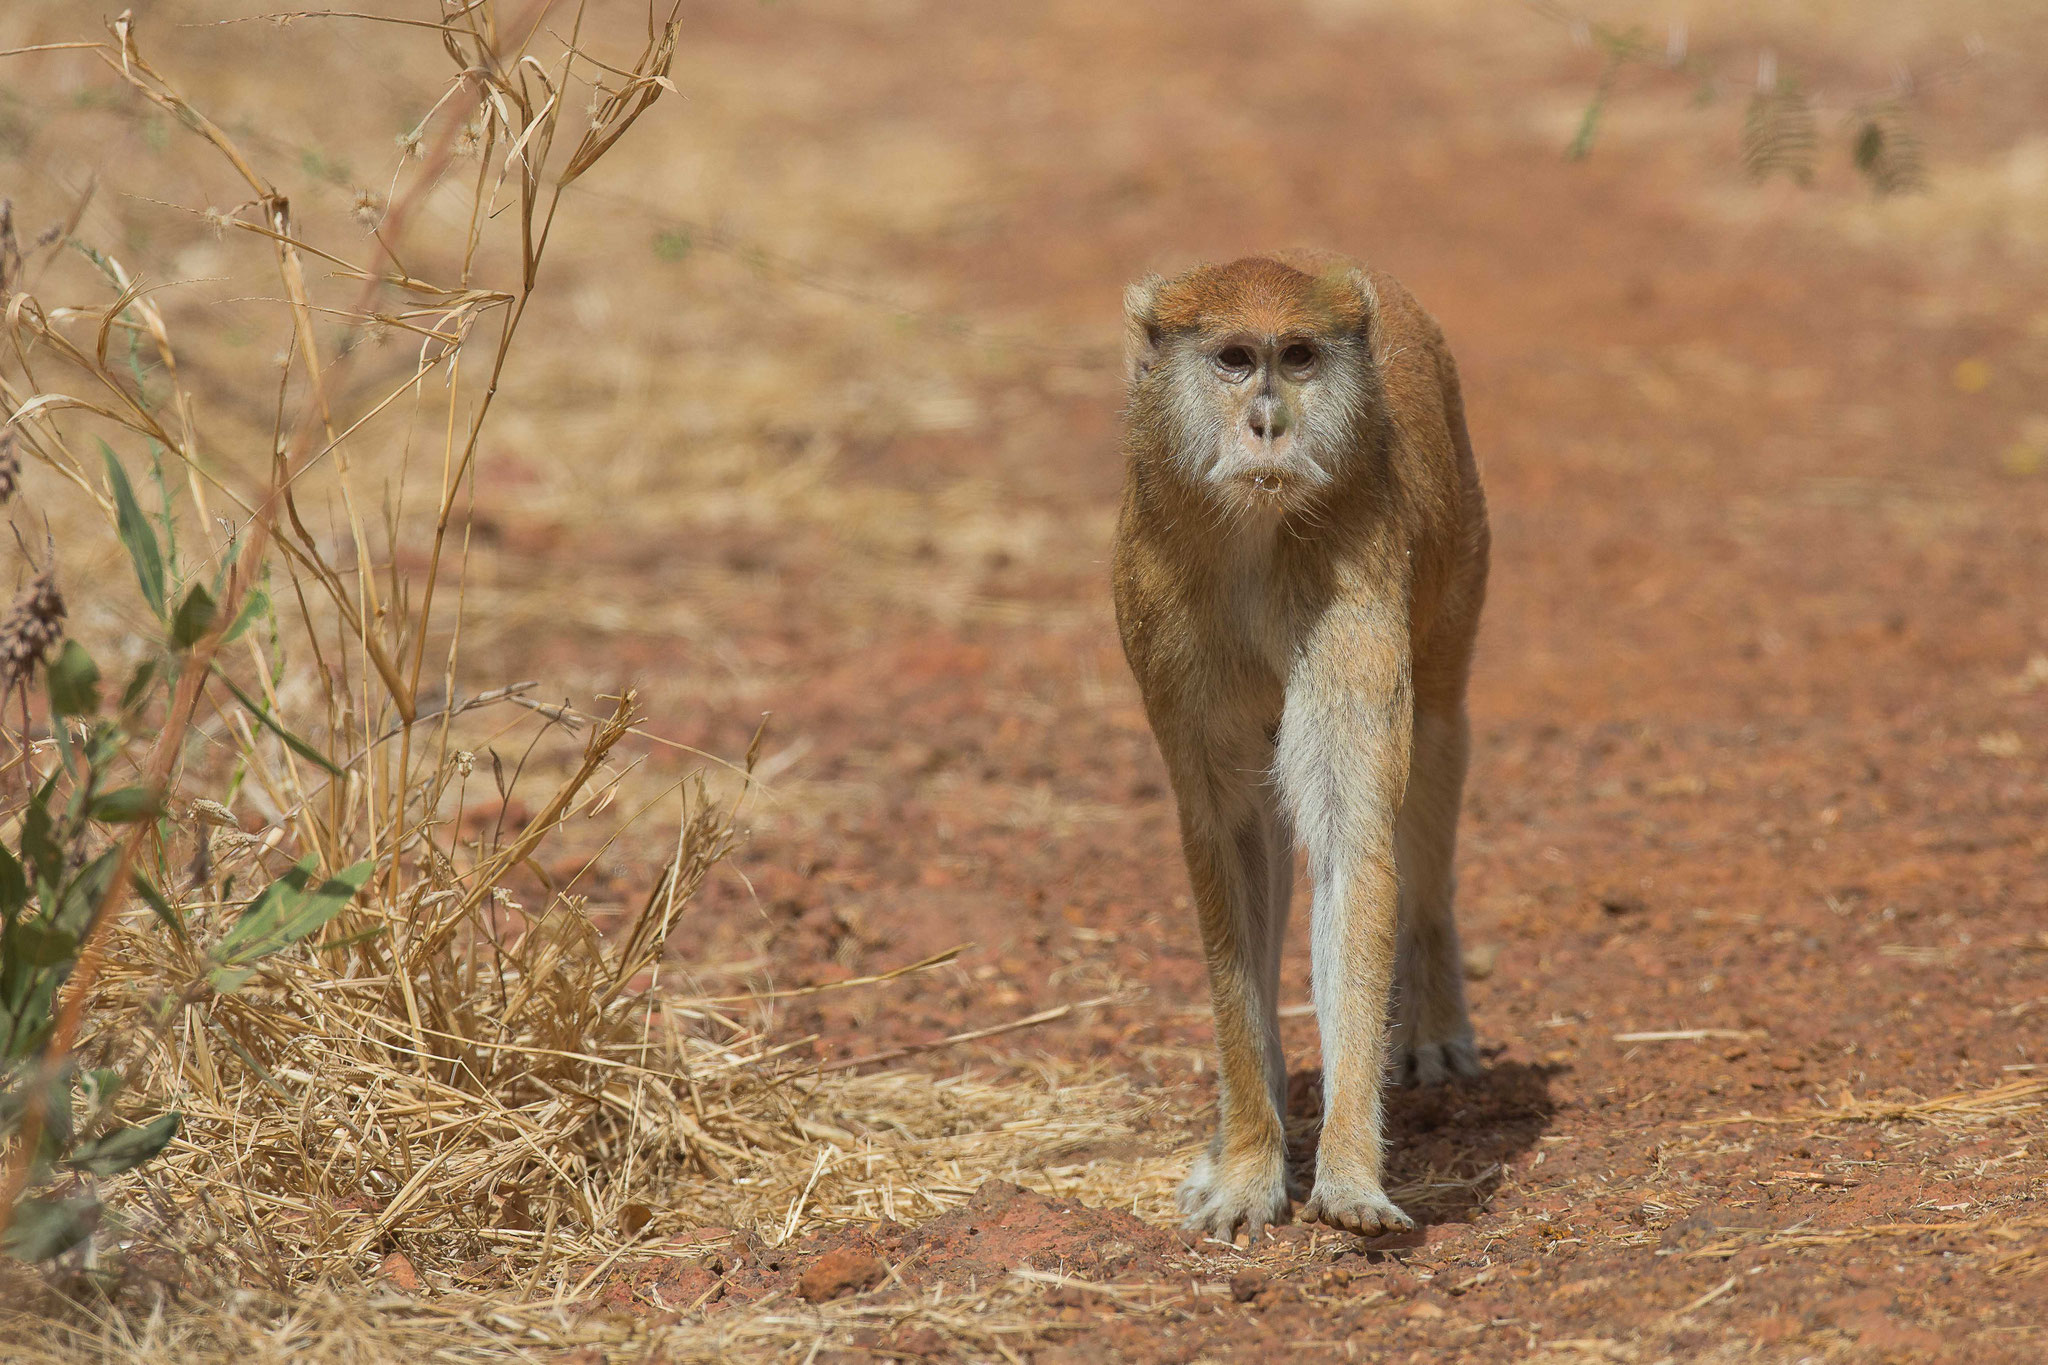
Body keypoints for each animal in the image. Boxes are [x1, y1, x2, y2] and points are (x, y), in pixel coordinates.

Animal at [1111, 252, 1488, 1241]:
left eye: (1301, 358)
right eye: (1236, 359)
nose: (1269, 422)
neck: (1256, 538)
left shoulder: (1357, 586)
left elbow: (1354, 846)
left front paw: (1351, 1173)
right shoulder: (1160, 614)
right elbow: (1231, 843)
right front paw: (1248, 1162)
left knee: (1437, 742)